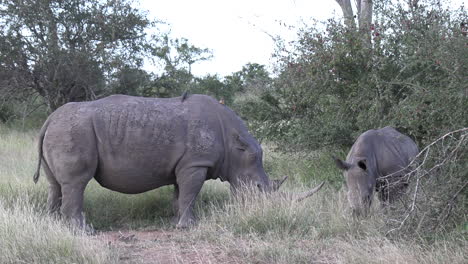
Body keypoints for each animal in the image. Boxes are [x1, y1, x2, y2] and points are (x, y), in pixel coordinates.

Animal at [32, 94, 318, 229]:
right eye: (258, 189)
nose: (266, 209)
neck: (234, 144)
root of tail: (49, 118)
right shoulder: (196, 163)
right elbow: (190, 194)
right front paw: (188, 226)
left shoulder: (187, 163)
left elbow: (181, 195)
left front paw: (177, 223)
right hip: (73, 131)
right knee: (76, 183)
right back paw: (84, 232)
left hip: (59, 130)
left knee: (55, 185)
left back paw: (54, 226)